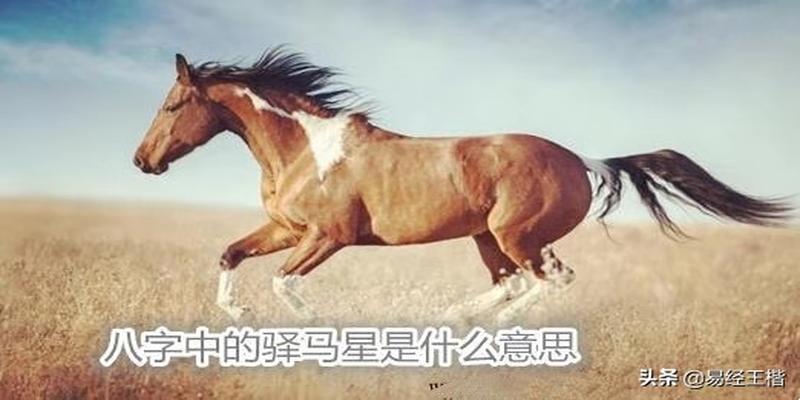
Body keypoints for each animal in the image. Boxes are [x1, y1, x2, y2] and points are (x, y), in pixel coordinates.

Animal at [133, 47, 791, 324]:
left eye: (171, 105)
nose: (141, 161)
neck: (306, 151)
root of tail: (582, 160)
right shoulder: (285, 229)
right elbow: (231, 255)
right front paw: (237, 312)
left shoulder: (329, 236)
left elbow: (283, 282)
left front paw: (311, 323)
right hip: (487, 239)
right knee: (510, 283)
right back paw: (454, 317)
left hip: (518, 236)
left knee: (548, 280)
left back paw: (486, 327)